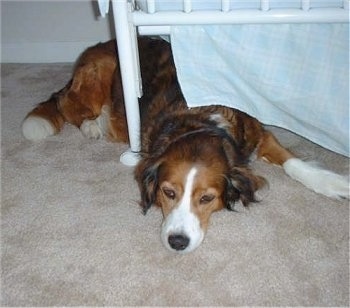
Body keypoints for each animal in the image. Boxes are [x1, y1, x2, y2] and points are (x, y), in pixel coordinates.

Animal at [21, 36, 348, 253]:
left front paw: (332, 183)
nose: (177, 242)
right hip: (96, 77)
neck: (199, 123)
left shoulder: (256, 132)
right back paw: (91, 125)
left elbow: (294, 164)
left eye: (207, 198)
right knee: (66, 105)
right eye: (168, 192)